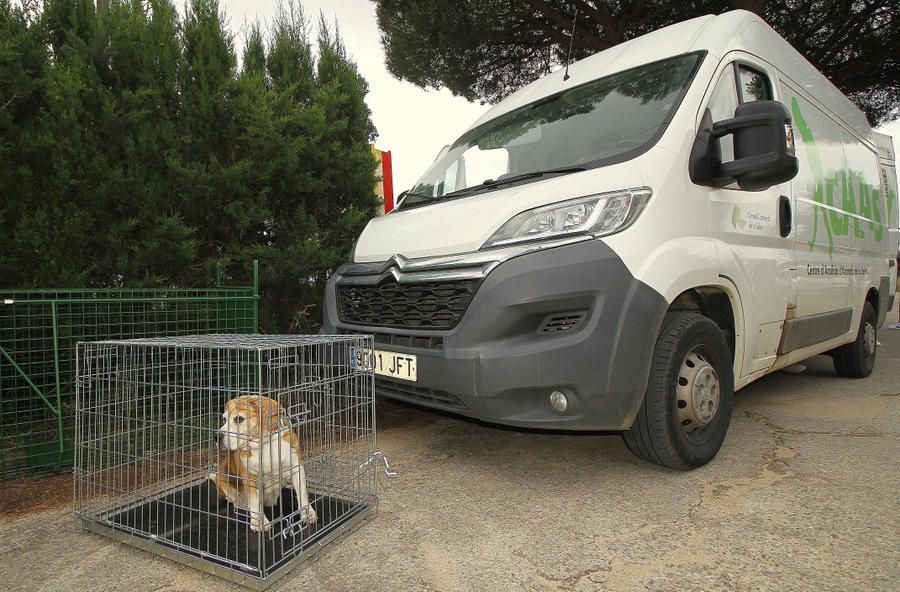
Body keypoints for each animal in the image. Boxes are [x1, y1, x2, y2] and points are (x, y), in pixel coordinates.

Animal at [210, 398, 316, 532]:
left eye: (239, 419)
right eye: (224, 419)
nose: (216, 436)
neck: (265, 445)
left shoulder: (297, 467)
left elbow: (302, 493)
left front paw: (308, 513)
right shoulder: (251, 477)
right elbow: (255, 502)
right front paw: (258, 522)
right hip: (222, 479)